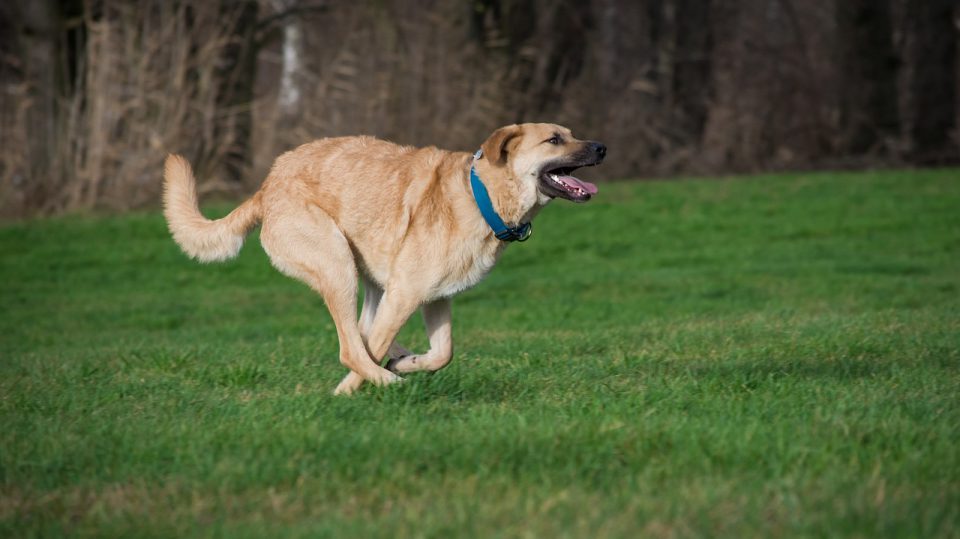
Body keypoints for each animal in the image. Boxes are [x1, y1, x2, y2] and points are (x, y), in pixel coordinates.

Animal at [161, 123, 604, 396]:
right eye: (554, 140)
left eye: (570, 134)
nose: (601, 147)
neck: (481, 194)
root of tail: (266, 187)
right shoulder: (406, 293)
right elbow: (368, 350)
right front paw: (350, 391)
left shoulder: (435, 298)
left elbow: (442, 353)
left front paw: (406, 363)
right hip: (338, 265)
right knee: (352, 346)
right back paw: (385, 381)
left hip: (371, 280)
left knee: (361, 333)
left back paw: (395, 363)